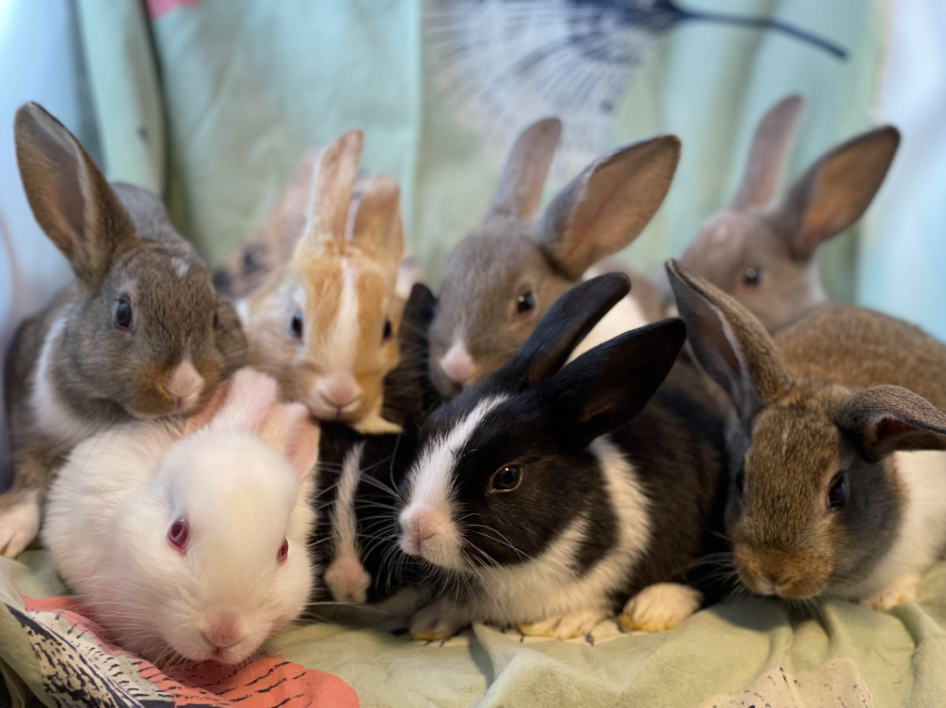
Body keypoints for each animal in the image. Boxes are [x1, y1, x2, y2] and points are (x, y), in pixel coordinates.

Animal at [0, 103, 247, 559]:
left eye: (215, 319)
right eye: (122, 312)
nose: (183, 385)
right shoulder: (27, 424)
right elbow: (29, 478)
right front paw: (8, 530)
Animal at [397, 273, 732, 641]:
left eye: (508, 476)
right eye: (430, 433)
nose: (418, 526)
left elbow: (600, 599)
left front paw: (559, 623)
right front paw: (430, 621)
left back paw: (654, 607)